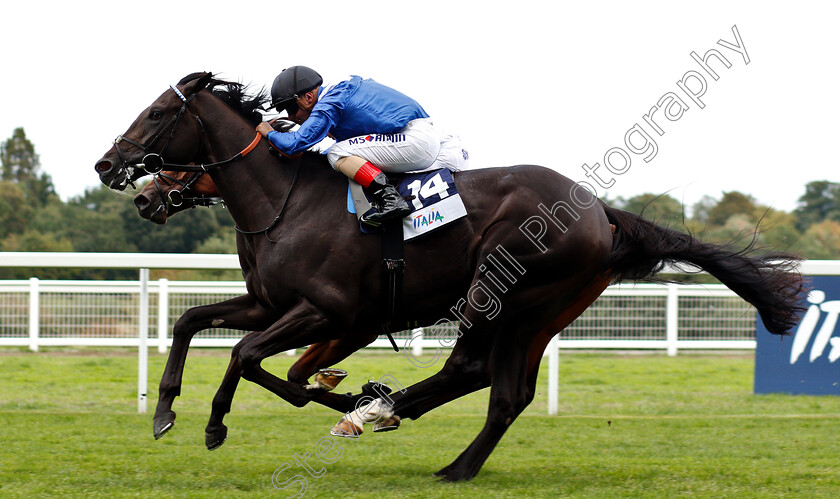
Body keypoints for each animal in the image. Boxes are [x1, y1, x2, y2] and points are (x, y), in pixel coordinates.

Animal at [93, 72, 808, 482]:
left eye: (156, 114)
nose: (112, 168)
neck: (285, 201)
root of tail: (597, 209)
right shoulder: (273, 304)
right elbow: (194, 323)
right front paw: (165, 409)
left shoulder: (330, 311)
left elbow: (248, 357)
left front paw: (216, 424)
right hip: (545, 311)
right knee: (506, 390)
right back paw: (431, 445)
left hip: (503, 290)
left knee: (476, 371)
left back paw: (401, 425)